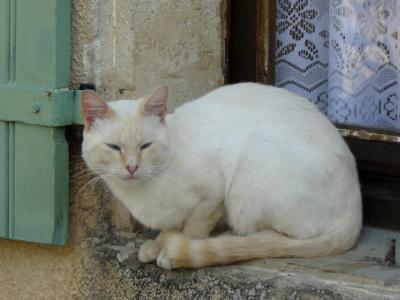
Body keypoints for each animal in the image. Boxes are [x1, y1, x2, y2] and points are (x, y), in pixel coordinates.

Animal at [81, 82, 362, 270]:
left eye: (145, 146)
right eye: (114, 148)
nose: (132, 167)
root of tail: (356, 207)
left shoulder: (211, 197)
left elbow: (191, 231)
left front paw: (170, 252)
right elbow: (171, 227)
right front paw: (157, 245)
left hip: (248, 179)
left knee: (282, 239)